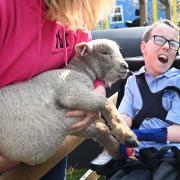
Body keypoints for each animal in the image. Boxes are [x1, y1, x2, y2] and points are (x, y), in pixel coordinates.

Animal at [0, 38, 137, 165]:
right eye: (104, 52)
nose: (125, 66)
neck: (78, 70)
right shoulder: (71, 90)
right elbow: (106, 103)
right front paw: (126, 135)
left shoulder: (74, 125)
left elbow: (101, 129)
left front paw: (116, 151)